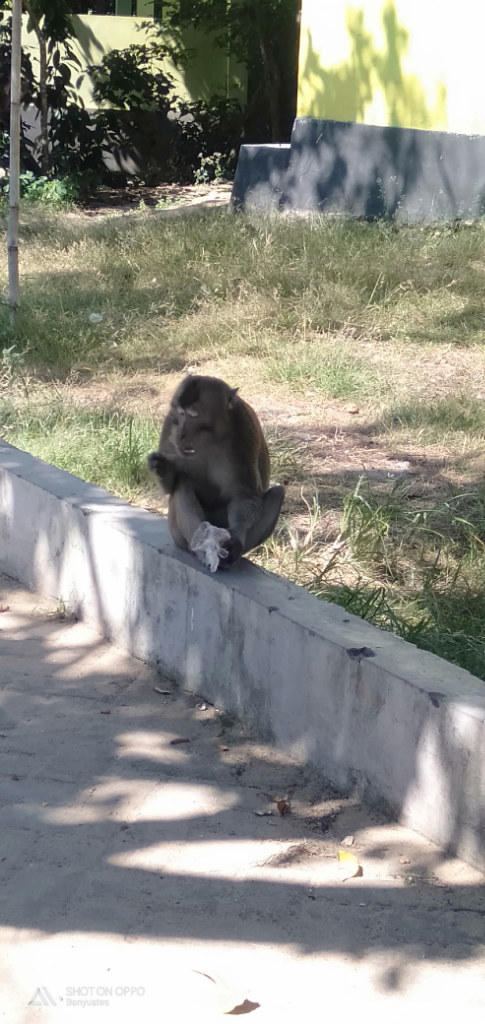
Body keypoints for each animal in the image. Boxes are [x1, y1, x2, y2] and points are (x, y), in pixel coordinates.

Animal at [147, 372, 284, 573]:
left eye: (193, 415)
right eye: (181, 412)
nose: (180, 434)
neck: (210, 439)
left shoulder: (243, 432)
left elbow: (245, 496)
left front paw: (235, 538)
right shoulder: (169, 423)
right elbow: (170, 486)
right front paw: (162, 466)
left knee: (277, 493)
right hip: (177, 534)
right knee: (183, 481)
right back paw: (202, 549)